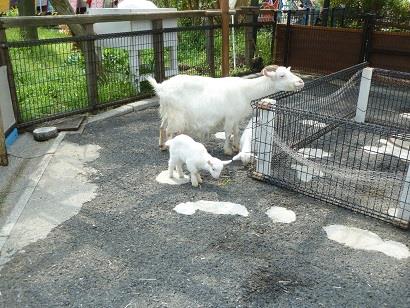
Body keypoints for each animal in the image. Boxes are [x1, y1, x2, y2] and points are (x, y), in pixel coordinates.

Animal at [149, 66, 302, 155]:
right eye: (281, 75)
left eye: (289, 72)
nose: (300, 82)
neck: (246, 91)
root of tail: (161, 88)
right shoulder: (230, 117)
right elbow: (228, 133)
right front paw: (228, 150)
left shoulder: (236, 117)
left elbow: (236, 131)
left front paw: (236, 148)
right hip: (176, 115)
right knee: (169, 130)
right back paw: (169, 146)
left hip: (167, 112)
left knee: (162, 127)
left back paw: (162, 145)